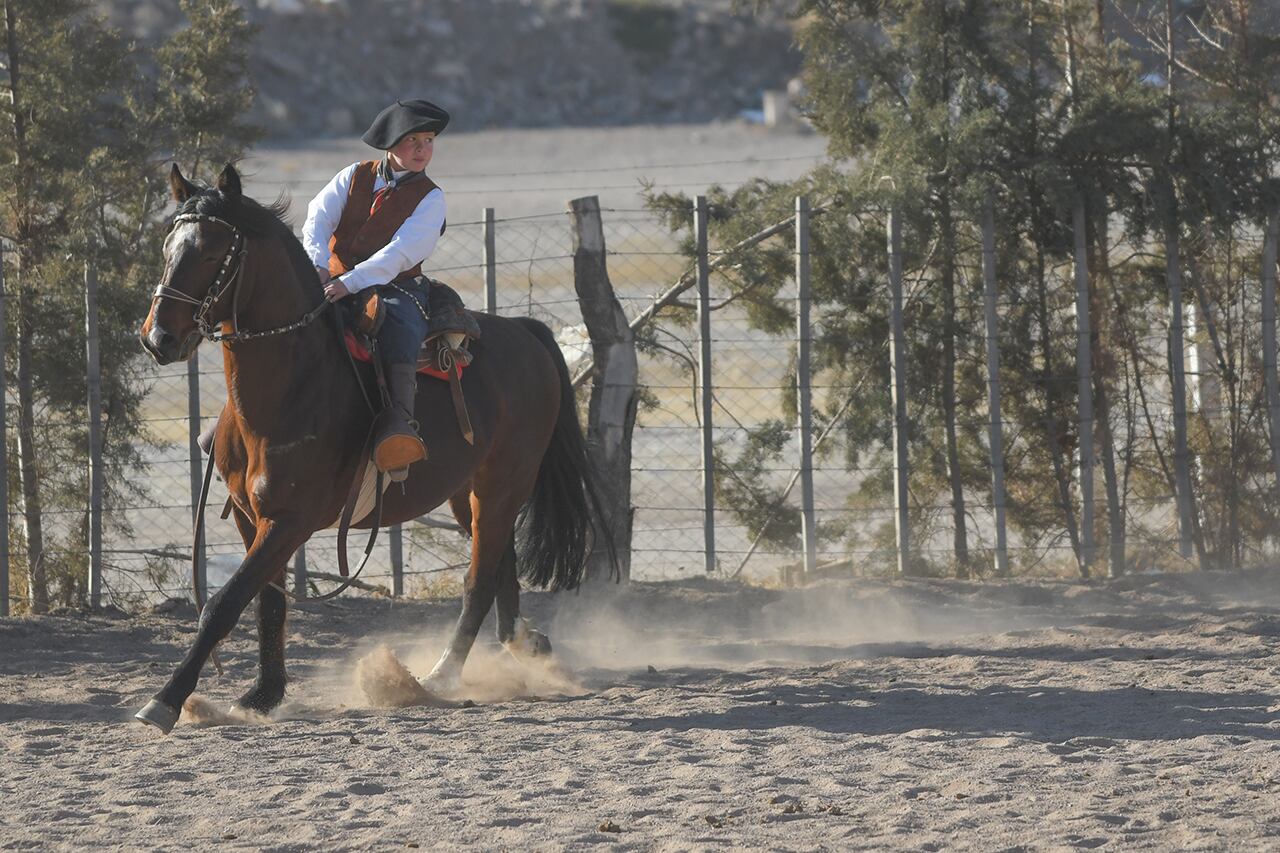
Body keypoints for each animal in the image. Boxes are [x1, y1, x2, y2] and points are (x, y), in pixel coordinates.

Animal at [135, 163, 609, 732]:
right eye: (168, 248)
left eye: (210, 253)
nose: (158, 338)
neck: (295, 383)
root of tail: (523, 331)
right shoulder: (253, 517)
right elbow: (267, 604)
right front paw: (263, 695)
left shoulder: (289, 521)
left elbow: (224, 604)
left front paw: (166, 699)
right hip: (470, 490)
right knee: (499, 562)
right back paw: (521, 642)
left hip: (504, 482)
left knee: (478, 580)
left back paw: (439, 676)